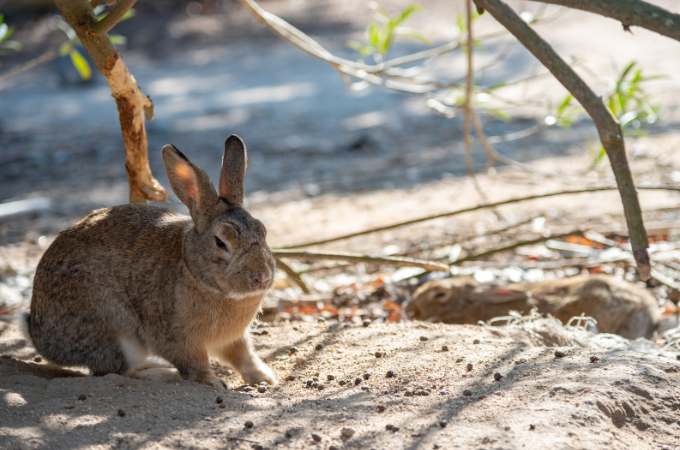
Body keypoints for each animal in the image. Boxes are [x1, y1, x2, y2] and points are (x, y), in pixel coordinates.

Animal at [23, 135, 278, 388]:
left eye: (263, 230)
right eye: (220, 242)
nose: (263, 277)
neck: (193, 270)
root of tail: (39, 334)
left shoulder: (233, 339)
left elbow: (242, 355)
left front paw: (265, 377)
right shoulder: (178, 338)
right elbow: (195, 364)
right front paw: (213, 382)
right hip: (114, 329)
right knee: (116, 371)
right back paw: (162, 374)